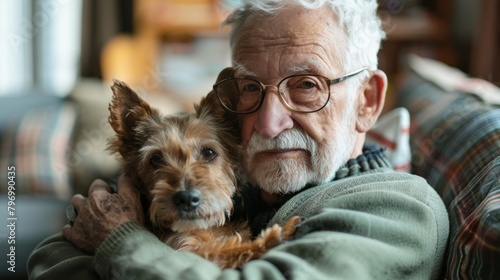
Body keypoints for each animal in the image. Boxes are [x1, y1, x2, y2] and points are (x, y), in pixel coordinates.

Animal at [107, 69, 298, 268]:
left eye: (209, 152)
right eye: (156, 159)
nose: (186, 198)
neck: (205, 227)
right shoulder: (187, 249)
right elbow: (222, 251)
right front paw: (272, 238)